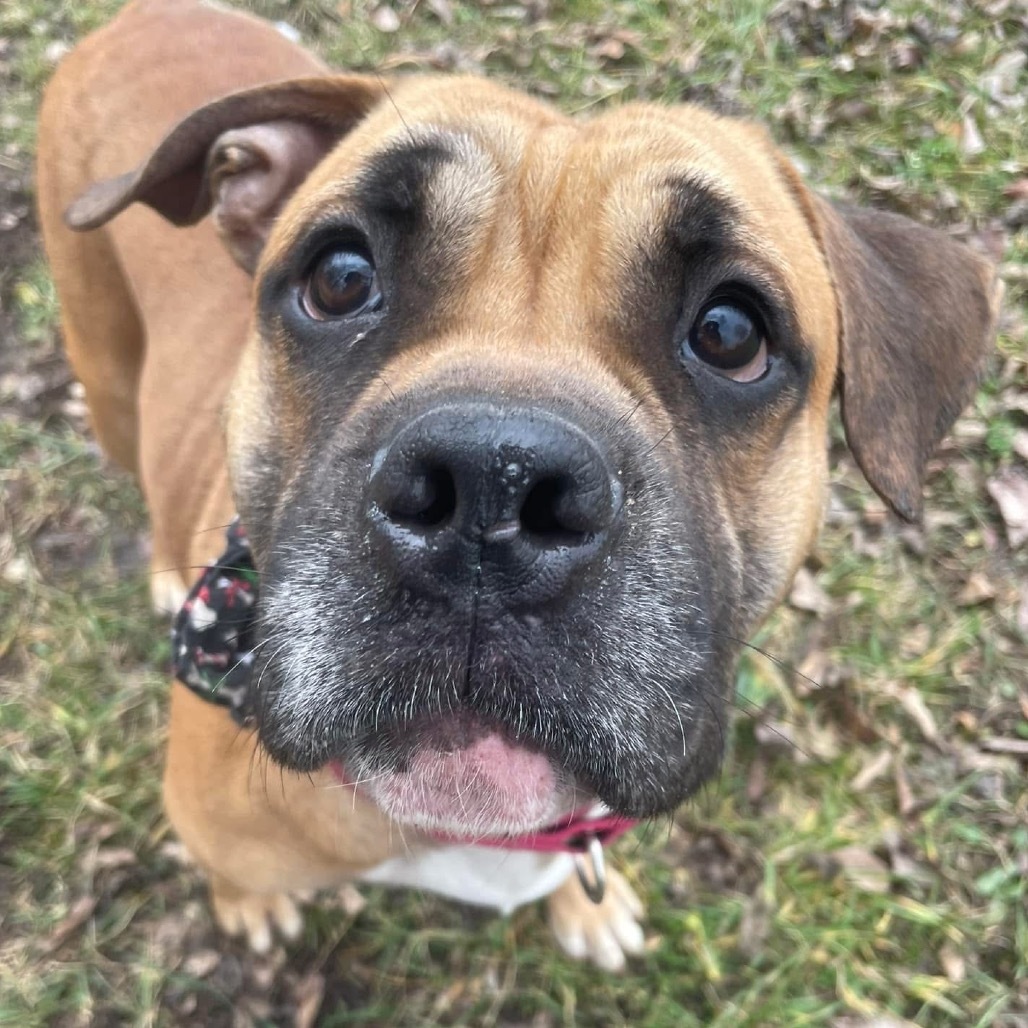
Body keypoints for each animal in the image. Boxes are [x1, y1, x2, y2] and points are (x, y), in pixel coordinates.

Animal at [38, 0, 995, 970]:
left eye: (731, 332)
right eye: (341, 276)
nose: (490, 481)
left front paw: (588, 909)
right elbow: (233, 871)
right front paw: (247, 903)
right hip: (108, 374)